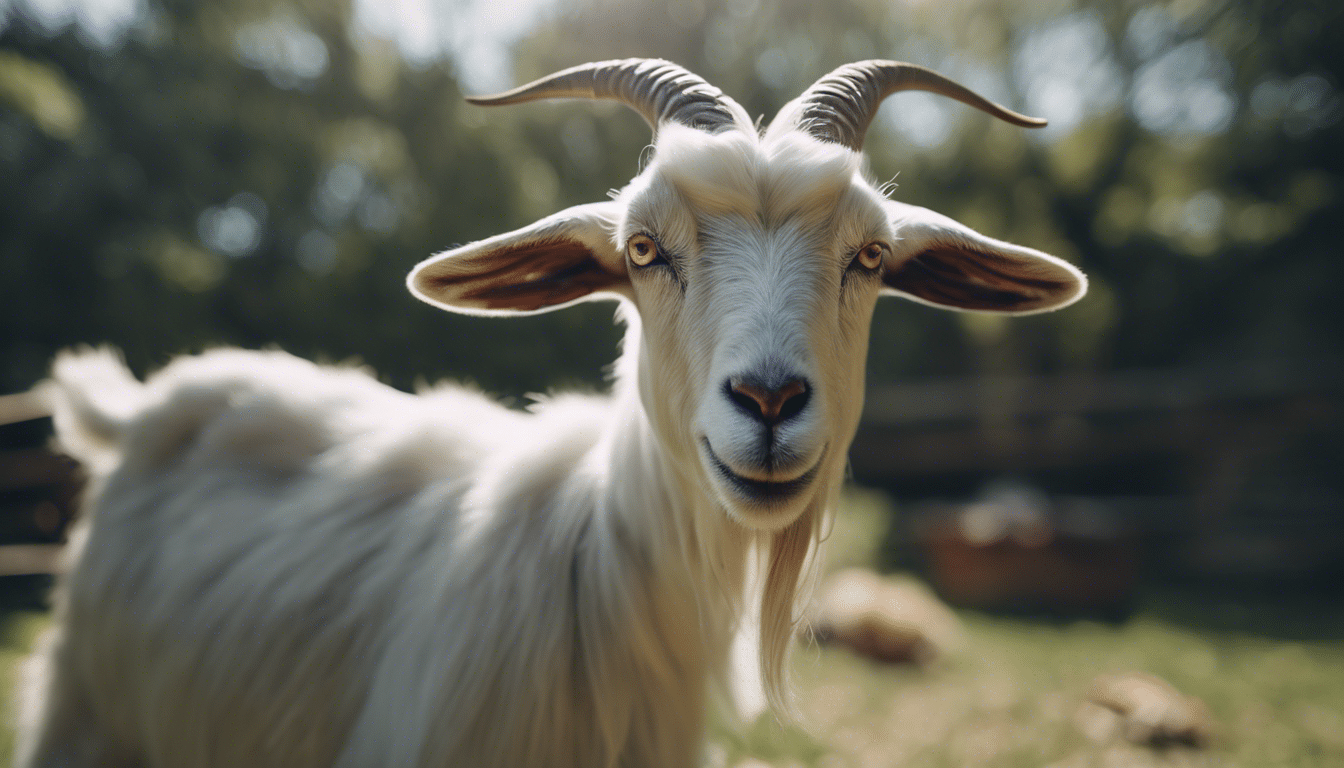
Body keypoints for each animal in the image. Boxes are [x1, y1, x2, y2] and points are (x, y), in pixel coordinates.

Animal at [15, 61, 1085, 768]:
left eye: (870, 256)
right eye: (645, 249)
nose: (771, 400)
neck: (594, 568)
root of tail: (135, 408)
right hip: (84, 718)